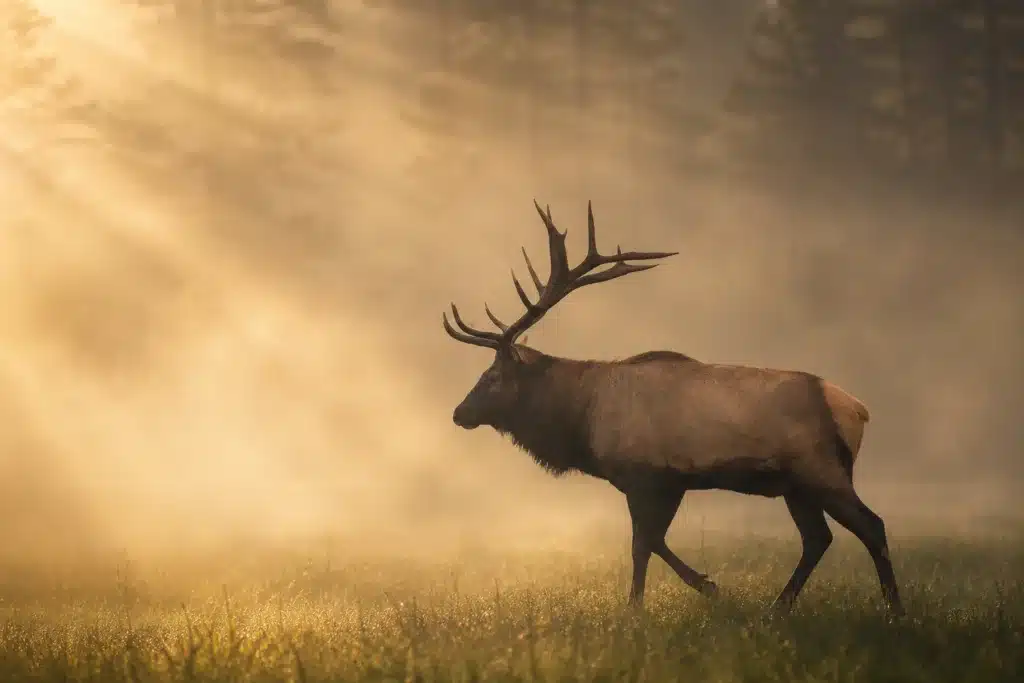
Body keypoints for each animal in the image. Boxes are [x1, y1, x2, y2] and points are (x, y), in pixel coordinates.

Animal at [442, 200, 904, 616]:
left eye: (493, 376)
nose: (459, 413)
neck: (583, 420)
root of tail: (857, 410)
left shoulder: (644, 474)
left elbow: (642, 544)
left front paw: (642, 606)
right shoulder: (670, 481)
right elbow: (655, 540)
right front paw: (705, 587)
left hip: (820, 467)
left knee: (871, 525)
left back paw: (894, 610)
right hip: (795, 483)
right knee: (818, 538)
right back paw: (778, 608)